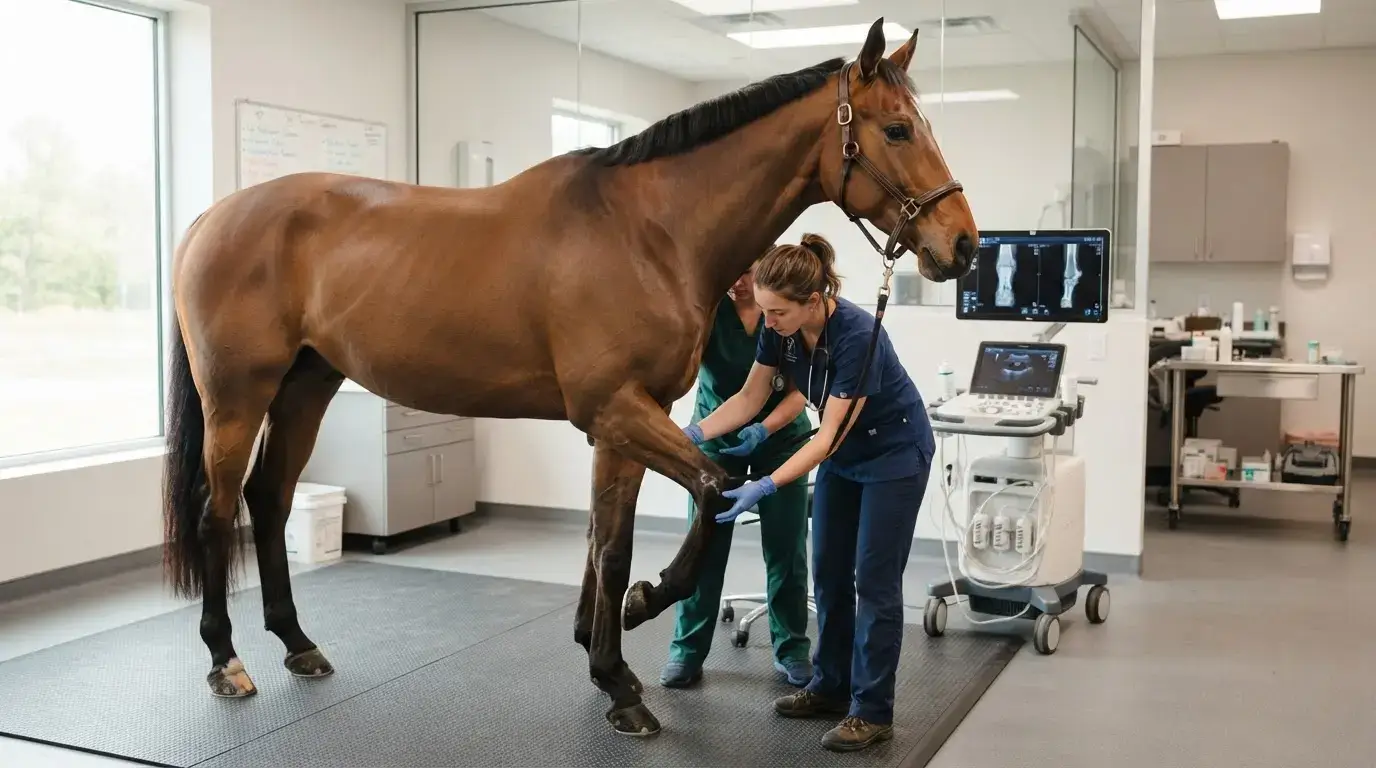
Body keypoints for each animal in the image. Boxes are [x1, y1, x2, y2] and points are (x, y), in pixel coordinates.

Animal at [161, 17, 976, 738]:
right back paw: (226, 661)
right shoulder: (614, 412)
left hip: (306, 388)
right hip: (237, 397)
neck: (649, 232)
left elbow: (606, 539)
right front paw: (634, 639)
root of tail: (210, 218)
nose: (963, 244)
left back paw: (298, 645)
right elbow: (704, 493)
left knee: (269, 501)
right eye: (897, 130)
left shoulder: (629, 422)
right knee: (217, 511)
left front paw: (605, 653)